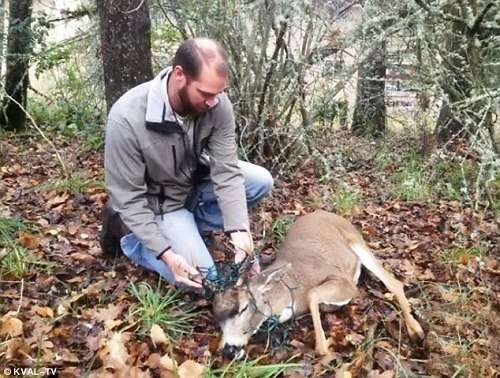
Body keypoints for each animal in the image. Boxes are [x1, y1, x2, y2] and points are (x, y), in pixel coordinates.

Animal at [213, 210, 424, 358]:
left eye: (243, 307)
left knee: (393, 282)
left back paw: (416, 331)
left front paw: (328, 347)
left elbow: (313, 295)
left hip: (357, 242)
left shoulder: (344, 281)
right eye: (217, 318)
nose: (228, 351)